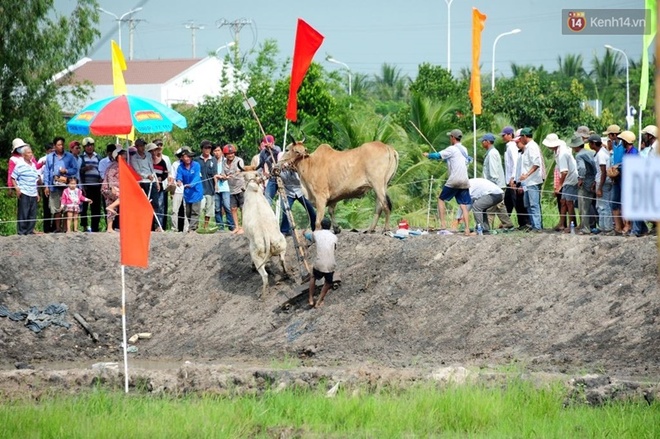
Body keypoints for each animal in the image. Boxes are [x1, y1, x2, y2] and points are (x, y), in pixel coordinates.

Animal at [240, 172, 286, 300]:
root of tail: (266, 236)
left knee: (264, 275)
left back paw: (263, 294)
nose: (242, 188)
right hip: (282, 243)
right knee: (282, 259)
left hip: (256, 255)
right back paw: (287, 273)